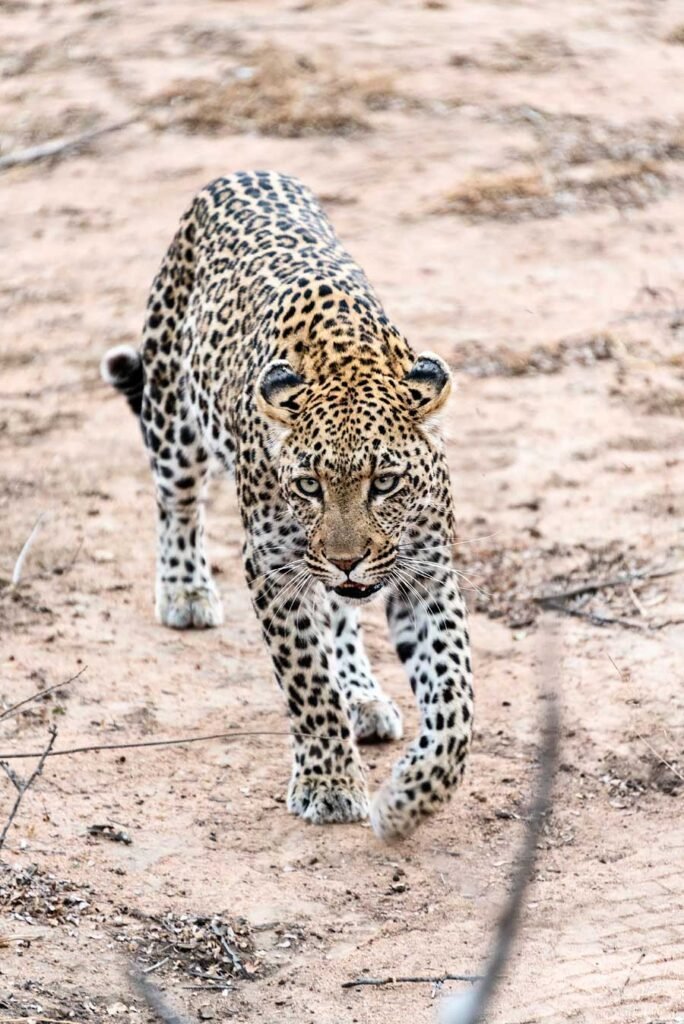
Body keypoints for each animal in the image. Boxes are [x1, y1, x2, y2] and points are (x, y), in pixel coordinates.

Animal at [101, 170, 473, 840]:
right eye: (308, 486)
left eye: (386, 482)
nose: (349, 558)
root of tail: (238, 172)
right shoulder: (274, 568)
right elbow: (308, 681)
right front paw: (331, 785)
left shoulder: (427, 573)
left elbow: (455, 699)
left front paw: (409, 801)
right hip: (172, 420)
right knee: (177, 507)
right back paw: (185, 592)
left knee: (341, 614)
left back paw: (362, 694)